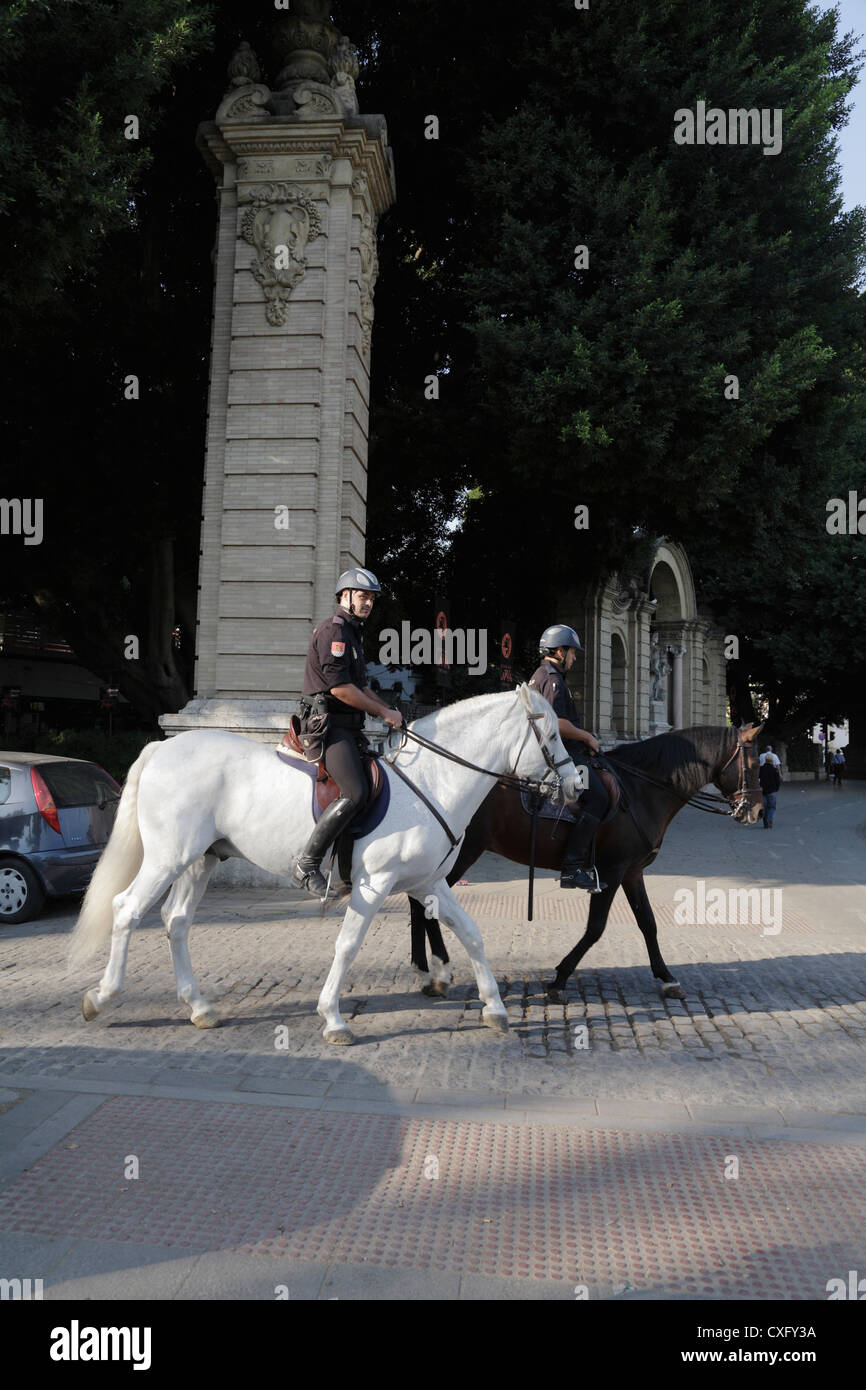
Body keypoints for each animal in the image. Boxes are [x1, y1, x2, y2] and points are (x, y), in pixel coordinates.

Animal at [67, 683, 583, 1045]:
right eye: (550, 733)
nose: (577, 786)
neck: (432, 779)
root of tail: (163, 748)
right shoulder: (375, 884)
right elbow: (348, 945)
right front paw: (333, 1018)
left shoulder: (428, 883)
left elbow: (471, 933)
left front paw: (494, 1008)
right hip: (167, 858)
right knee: (127, 910)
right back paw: (102, 996)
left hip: (200, 861)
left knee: (175, 922)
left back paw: (199, 1007)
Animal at [408, 728, 761, 1000]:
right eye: (756, 763)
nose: (755, 810)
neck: (641, 789)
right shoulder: (612, 871)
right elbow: (596, 928)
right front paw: (560, 978)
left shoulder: (632, 872)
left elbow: (648, 922)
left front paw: (667, 977)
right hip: (463, 854)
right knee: (427, 904)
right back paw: (438, 971)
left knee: (418, 902)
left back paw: (424, 968)